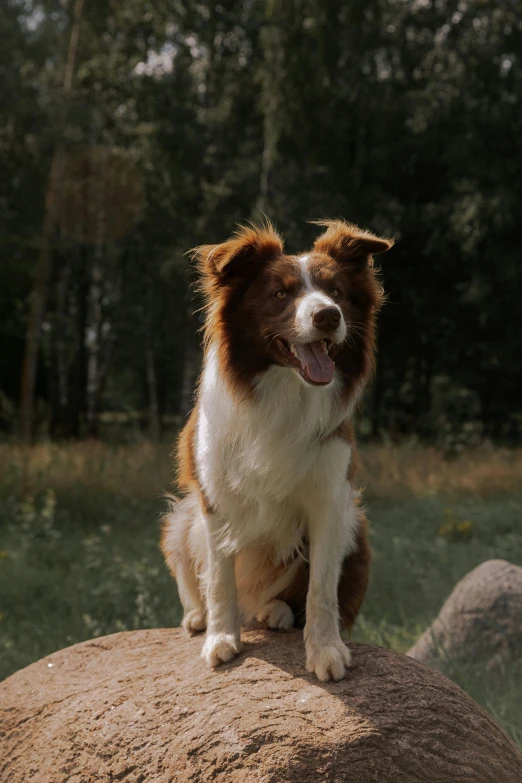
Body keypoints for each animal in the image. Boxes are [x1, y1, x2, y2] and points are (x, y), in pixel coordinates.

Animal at [161, 219, 390, 680]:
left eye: (336, 291)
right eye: (281, 294)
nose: (328, 315)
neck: (286, 391)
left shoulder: (331, 497)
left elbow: (322, 586)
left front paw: (325, 651)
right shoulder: (215, 498)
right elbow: (219, 579)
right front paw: (221, 638)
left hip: (356, 524)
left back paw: (276, 612)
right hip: (182, 521)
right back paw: (198, 617)